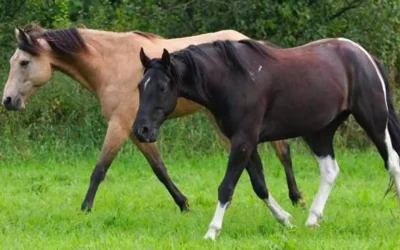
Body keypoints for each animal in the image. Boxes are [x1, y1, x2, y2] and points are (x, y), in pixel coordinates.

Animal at [1, 24, 304, 213]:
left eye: (24, 62)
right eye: (13, 62)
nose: (8, 100)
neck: (111, 62)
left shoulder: (119, 125)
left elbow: (100, 169)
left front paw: (85, 209)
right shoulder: (137, 130)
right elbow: (159, 168)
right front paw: (184, 203)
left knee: (282, 151)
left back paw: (296, 198)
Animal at [134, 38, 400, 239]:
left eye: (162, 87)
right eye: (140, 86)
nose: (141, 130)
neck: (234, 79)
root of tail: (365, 57)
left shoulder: (244, 140)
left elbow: (227, 186)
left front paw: (212, 232)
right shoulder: (245, 142)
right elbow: (259, 185)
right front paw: (286, 220)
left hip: (374, 122)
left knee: (392, 163)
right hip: (320, 132)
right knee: (330, 171)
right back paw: (312, 219)